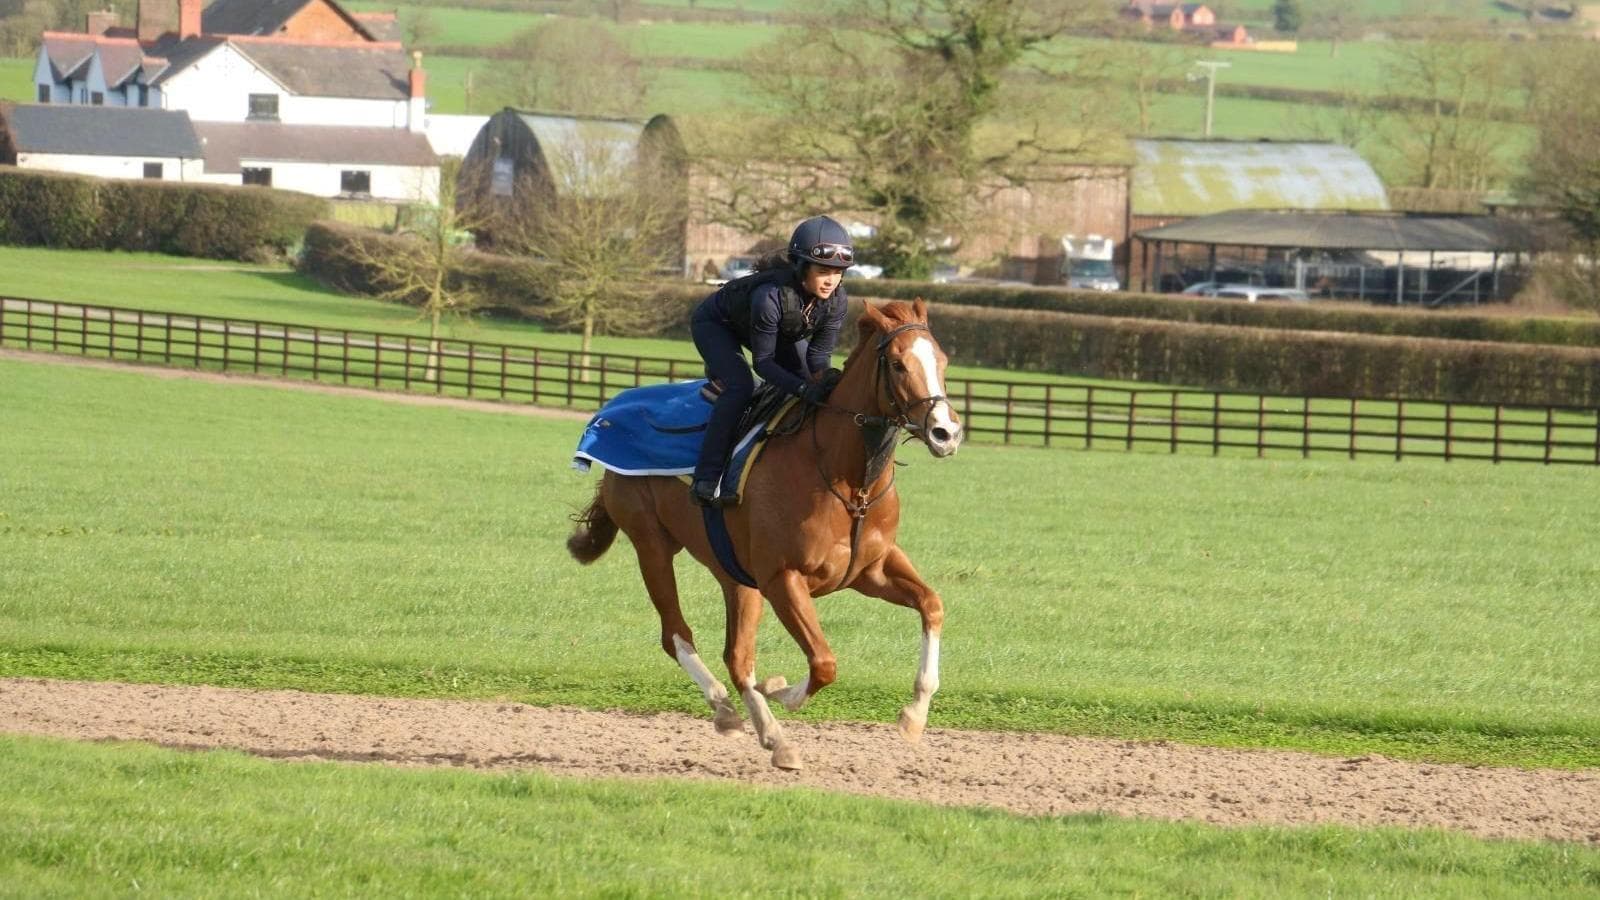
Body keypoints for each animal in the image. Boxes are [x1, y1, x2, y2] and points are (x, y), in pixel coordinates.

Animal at [566, 298, 964, 770]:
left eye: (943, 361)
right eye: (899, 364)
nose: (946, 432)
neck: (848, 479)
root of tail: (608, 414)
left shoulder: (872, 569)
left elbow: (932, 605)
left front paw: (913, 716)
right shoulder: (782, 579)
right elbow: (824, 663)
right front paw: (781, 691)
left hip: (734, 574)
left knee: (737, 657)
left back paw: (762, 728)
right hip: (652, 545)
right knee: (677, 635)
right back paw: (739, 717)